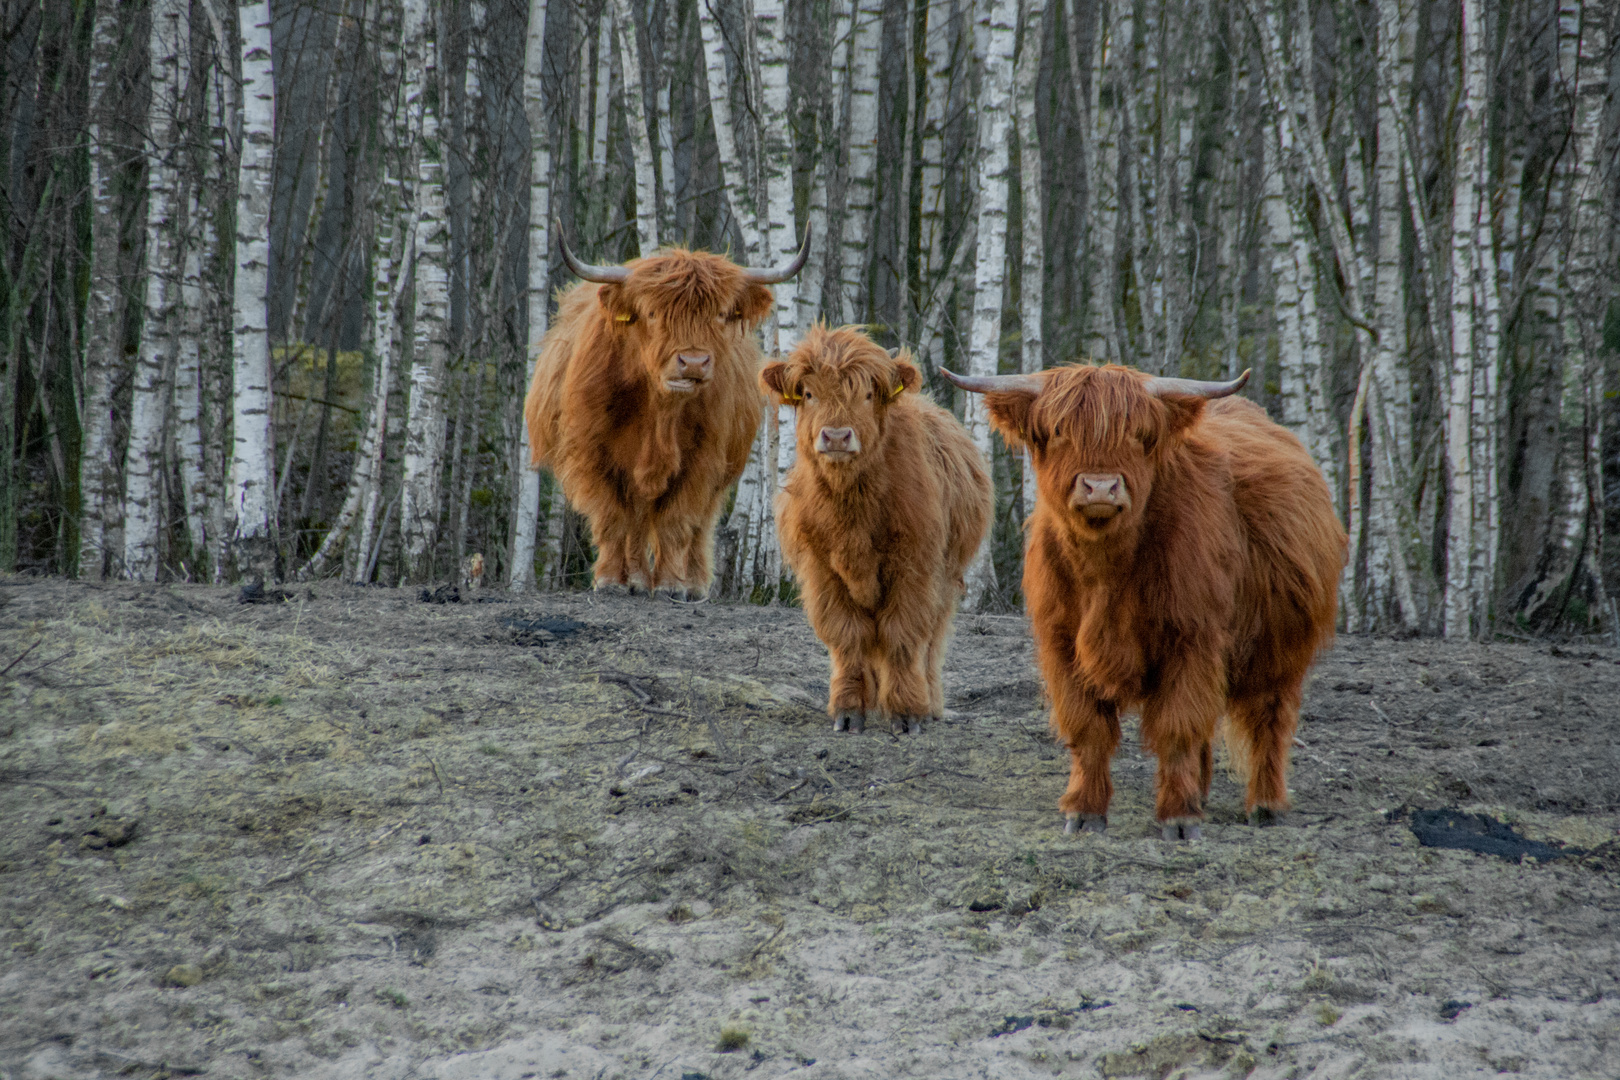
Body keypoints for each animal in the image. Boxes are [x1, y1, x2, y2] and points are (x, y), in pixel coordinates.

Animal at [528, 231, 806, 599]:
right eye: (651, 312)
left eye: (720, 314)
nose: (693, 363)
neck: (659, 412)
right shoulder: (594, 454)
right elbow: (613, 517)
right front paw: (612, 580)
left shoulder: (701, 460)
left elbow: (677, 521)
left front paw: (672, 585)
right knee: (635, 520)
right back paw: (636, 578)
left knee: (699, 526)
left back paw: (694, 584)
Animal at [946, 367, 1347, 841]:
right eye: (1060, 431)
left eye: (1138, 435)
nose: (1100, 486)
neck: (1105, 573)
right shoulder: (1062, 644)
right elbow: (1089, 729)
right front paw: (1085, 811)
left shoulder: (1192, 638)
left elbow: (1178, 726)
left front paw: (1179, 817)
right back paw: (1203, 793)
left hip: (1281, 648)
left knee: (1270, 719)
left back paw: (1266, 805)